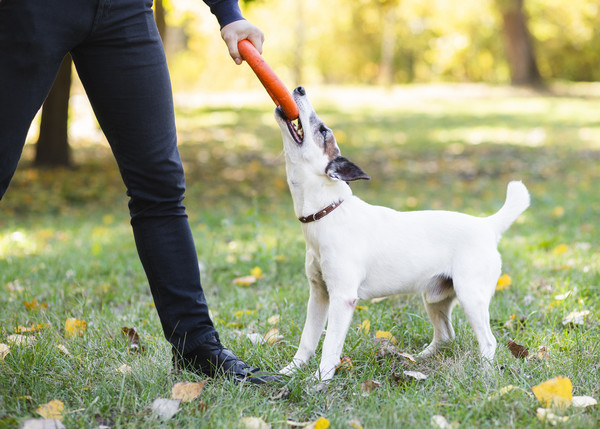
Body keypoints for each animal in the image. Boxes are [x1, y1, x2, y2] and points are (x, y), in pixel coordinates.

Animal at [272, 87, 528, 382]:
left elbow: (330, 345)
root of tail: (487, 225)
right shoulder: (319, 294)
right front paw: (291, 370)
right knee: (446, 335)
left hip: (470, 296)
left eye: (323, 131)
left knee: (488, 340)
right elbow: (308, 339)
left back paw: (484, 373)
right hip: (435, 298)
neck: (329, 211)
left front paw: (321, 379)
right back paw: (418, 359)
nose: (299, 89)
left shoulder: (342, 297)